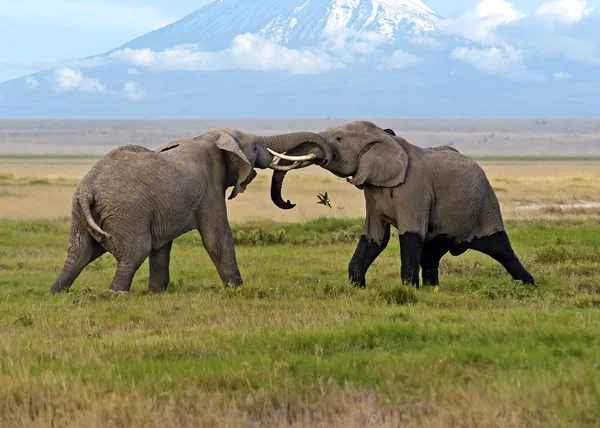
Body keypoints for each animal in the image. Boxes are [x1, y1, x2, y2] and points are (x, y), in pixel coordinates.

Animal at [50, 128, 332, 294]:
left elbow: (162, 248)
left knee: (79, 253)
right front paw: (237, 290)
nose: (290, 202)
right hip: (126, 211)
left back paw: (56, 292)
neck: (211, 136)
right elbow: (217, 239)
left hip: (82, 212)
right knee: (135, 251)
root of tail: (88, 189)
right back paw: (115, 294)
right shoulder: (210, 190)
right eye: (253, 147)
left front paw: (156, 293)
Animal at [270, 120, 536, 288]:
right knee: (431, 253)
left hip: (485, 206)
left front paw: (409, 290)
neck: (385, 139)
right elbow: (375, 238)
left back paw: (529, 285)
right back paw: (432, 289)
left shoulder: (414, 189)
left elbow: (409, 235)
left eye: (338, 138)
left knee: (501, 249)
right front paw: (358, 288)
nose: (290, 202)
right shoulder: (372, 191)